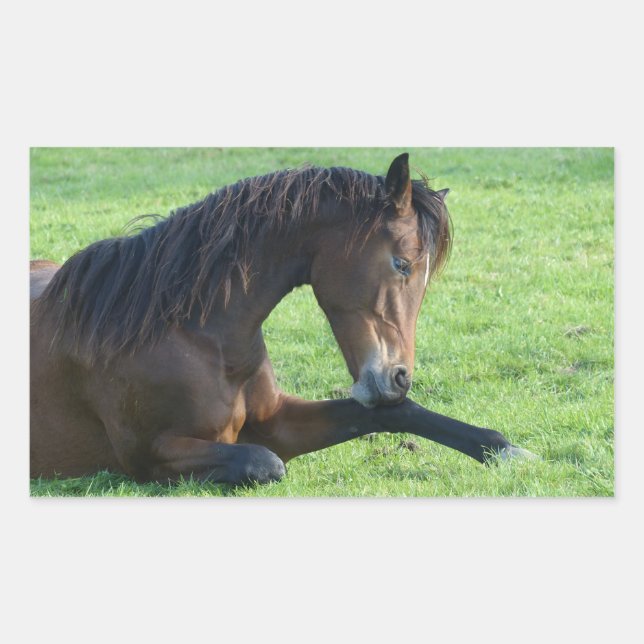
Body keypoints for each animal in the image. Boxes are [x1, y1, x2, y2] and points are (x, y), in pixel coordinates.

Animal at [30, 153, 534, 485]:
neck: (195, 335)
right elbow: (264, 462)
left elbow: (397, 414)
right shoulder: (150, 456)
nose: (399, 378)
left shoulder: (278, 421)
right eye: (402, 264)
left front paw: (506, 449)